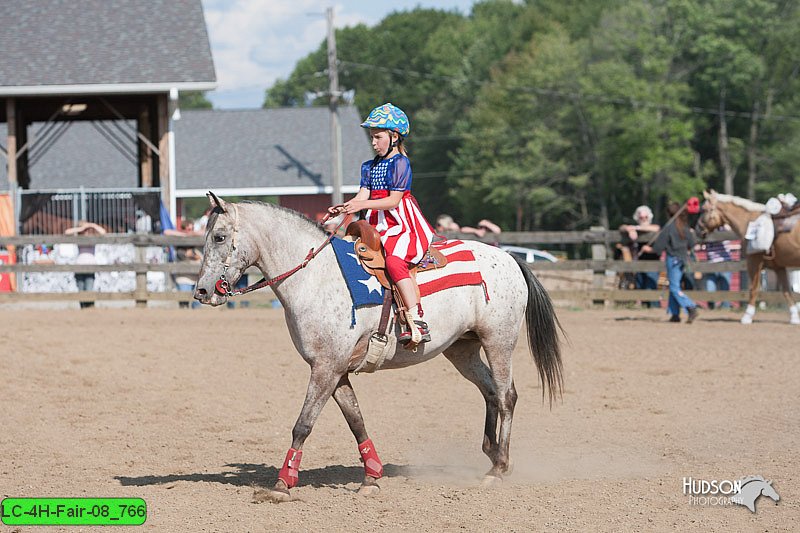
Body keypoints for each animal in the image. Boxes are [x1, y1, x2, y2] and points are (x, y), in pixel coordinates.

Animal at [192, 193, 564, 500]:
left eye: (219, 236)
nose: (202, 291)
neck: (317, 277)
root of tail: (510, 258)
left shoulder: (326, 368)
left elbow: (303, 424)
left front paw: (284, 483)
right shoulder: (336, 370)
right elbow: (356, 420)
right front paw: (372, 476)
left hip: (499, 341)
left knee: (506, 396)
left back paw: (498, 468)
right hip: (463, 349)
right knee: (489, 392)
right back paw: (493, 453)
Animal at [696, 191, 796, 324]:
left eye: (703, 209)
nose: (697, 229)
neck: (749, 220)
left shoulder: (754, 263)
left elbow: (753, 289)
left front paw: (747, 317)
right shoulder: (778, 267)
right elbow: (786, 291)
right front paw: (795, 317)